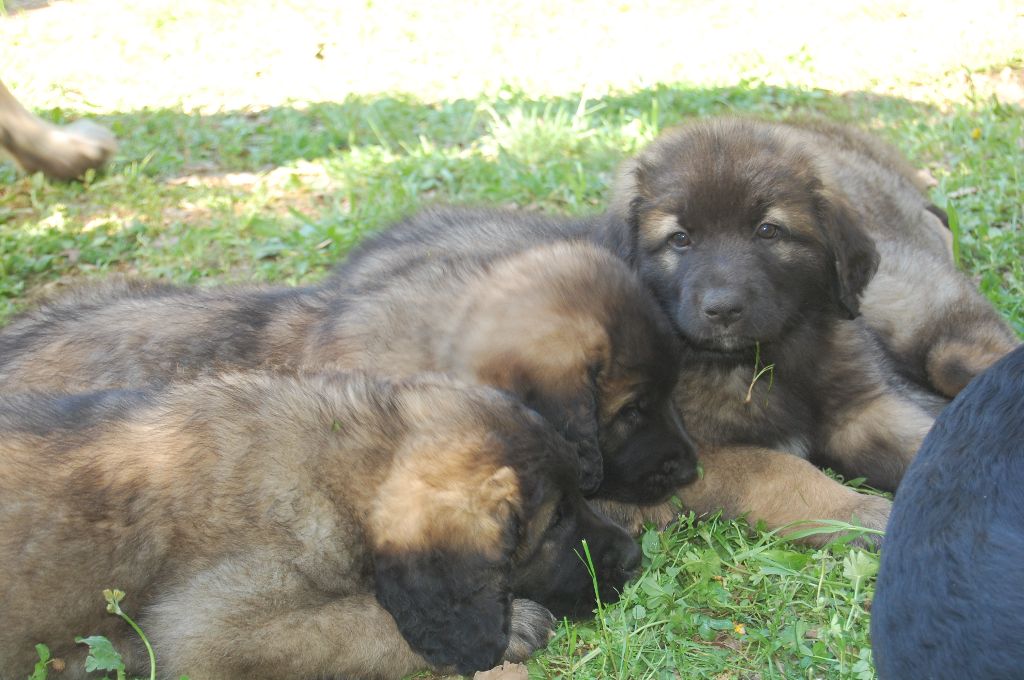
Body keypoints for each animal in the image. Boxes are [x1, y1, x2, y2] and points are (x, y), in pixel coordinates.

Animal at [0, 372, 638, 680]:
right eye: (554, 523)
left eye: (582, 497)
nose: (636, 558)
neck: (336, 466)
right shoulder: (205, 630)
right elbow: (356, 624)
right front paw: (512, 628)